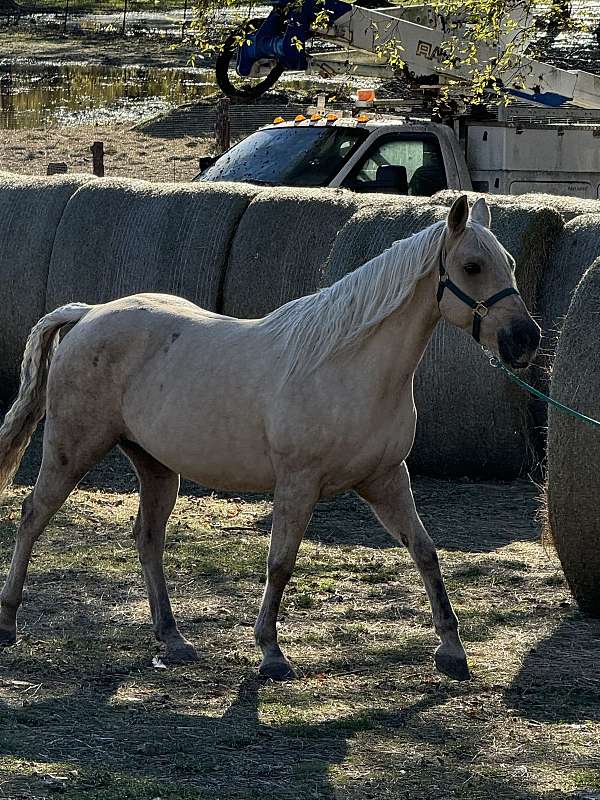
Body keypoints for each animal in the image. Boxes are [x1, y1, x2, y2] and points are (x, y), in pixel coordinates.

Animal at [0, 195, 540, 680]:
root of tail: (89, 313)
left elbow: (425, 552)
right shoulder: (298, 484)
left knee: (148, 537)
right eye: (472, 266)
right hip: (71, 451)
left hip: (156, 467)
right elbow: (280, 562)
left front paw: (452, 651)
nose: (524, 339)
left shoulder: (387, 479)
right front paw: (271, 653)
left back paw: (172, 638)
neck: (346, 366)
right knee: (32, 515)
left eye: (511, 263)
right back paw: (8, 621)